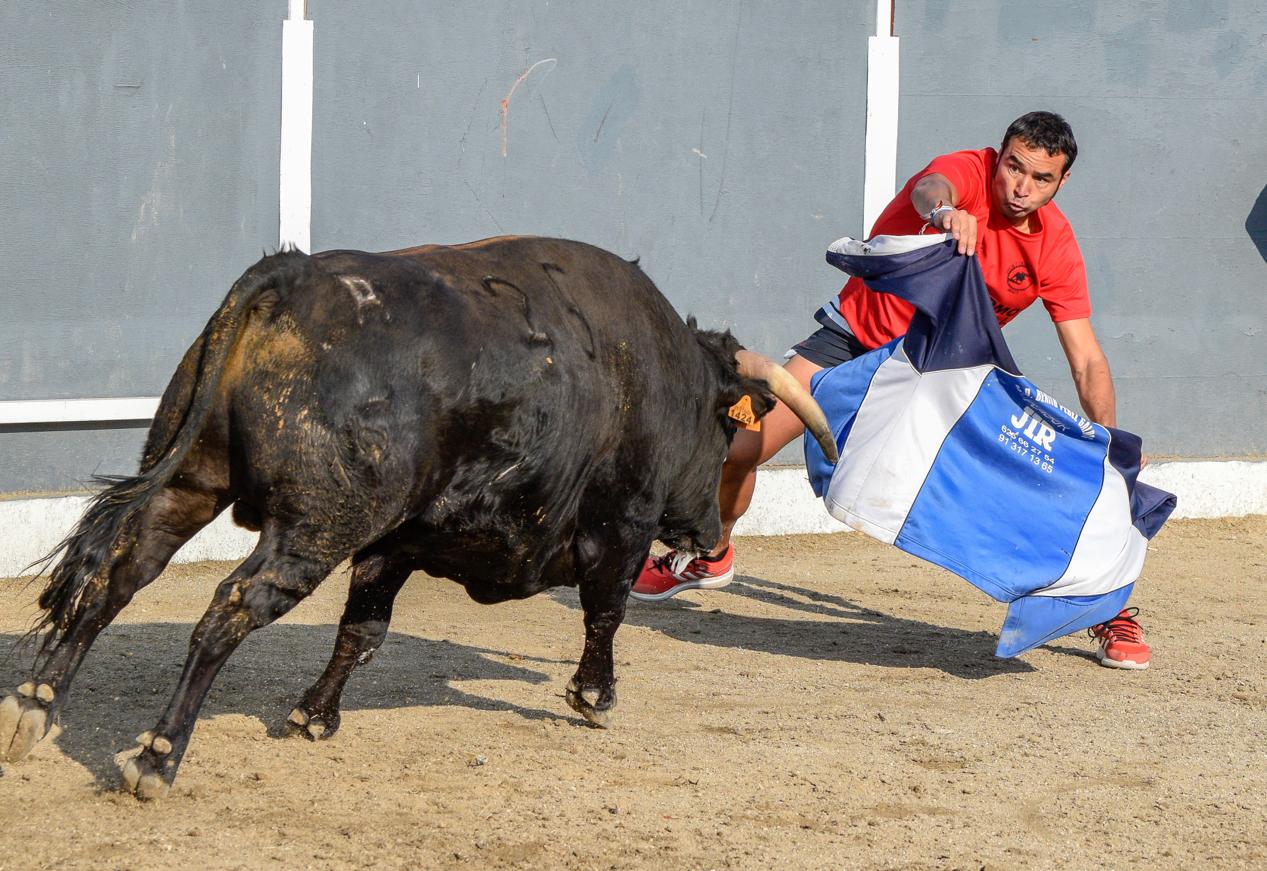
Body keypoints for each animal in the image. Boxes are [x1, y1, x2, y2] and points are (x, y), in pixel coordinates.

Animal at [0, 234, 836, 801]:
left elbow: (363, 630)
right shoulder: (618, 526)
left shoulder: (395, 542)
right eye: (725, 431)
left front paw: (313, 717)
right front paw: (593, 698)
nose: (709, 535)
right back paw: (156, 755)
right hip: (314, 526)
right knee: (229, 608)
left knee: (120, 571)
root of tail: (289, 274)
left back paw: (36, 708)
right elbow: (605, 612)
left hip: (190, 477)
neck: (661, 369)